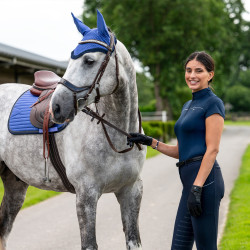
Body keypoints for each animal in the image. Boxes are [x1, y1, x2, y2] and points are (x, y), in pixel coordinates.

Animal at [0, 10, 146, 250]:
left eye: (89, 60)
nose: (57, 107)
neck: (117, 137)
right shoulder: (86, 197)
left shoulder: (131, 191)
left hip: (15, 184)